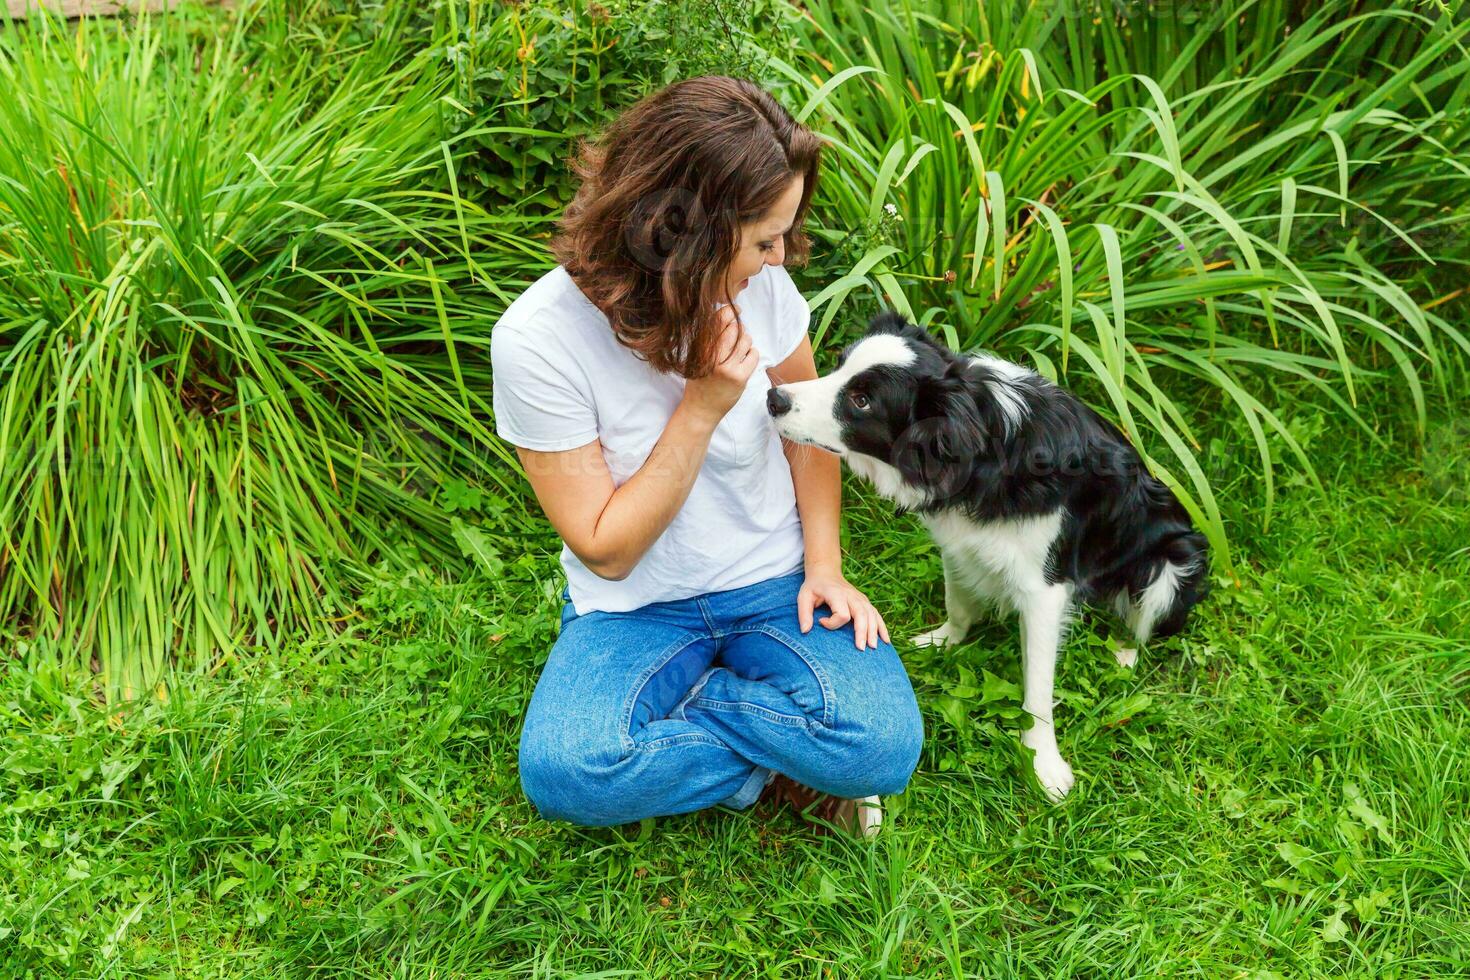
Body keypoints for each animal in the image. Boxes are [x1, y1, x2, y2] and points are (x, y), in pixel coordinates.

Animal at [764, 310, 1211, 799]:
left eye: (862, 401)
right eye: (839, 366)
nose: (773, 398)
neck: (988, 452)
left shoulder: (1045, 588)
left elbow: (1037, 686)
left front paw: (1043, 763)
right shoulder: (959, 542)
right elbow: (957, 603)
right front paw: (943, 642)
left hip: (1173, 562)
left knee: (1146, 621)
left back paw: (1125, 653)